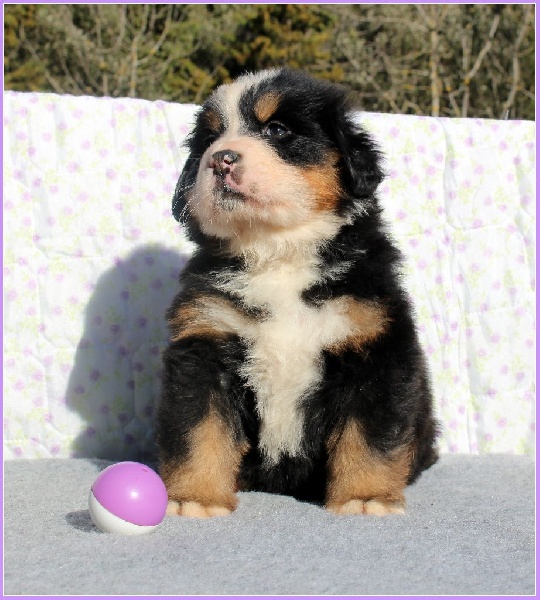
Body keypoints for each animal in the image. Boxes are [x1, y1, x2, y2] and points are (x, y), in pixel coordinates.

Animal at [156, 68, 439, 517]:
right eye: (210, 140)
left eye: (277, 129)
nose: (221, 158)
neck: (277, 253)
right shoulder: (205, 343)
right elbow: (199, 431)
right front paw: (194, 499)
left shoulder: (374, 347)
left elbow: (368, 437)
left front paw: (366, 496)